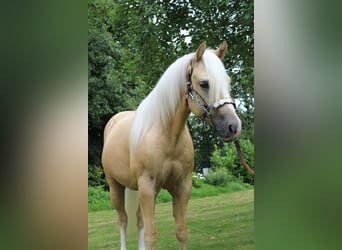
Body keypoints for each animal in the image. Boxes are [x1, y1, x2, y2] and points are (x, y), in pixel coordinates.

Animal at [101, 41, 240, 250]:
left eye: (228, 81)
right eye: (204, 84)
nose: (234, 127)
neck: (167, 135)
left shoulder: (182, 187)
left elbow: (181, 232)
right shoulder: (147, 186)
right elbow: (151, 236)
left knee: (138, 219)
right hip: (115, 186)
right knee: (123, 220)